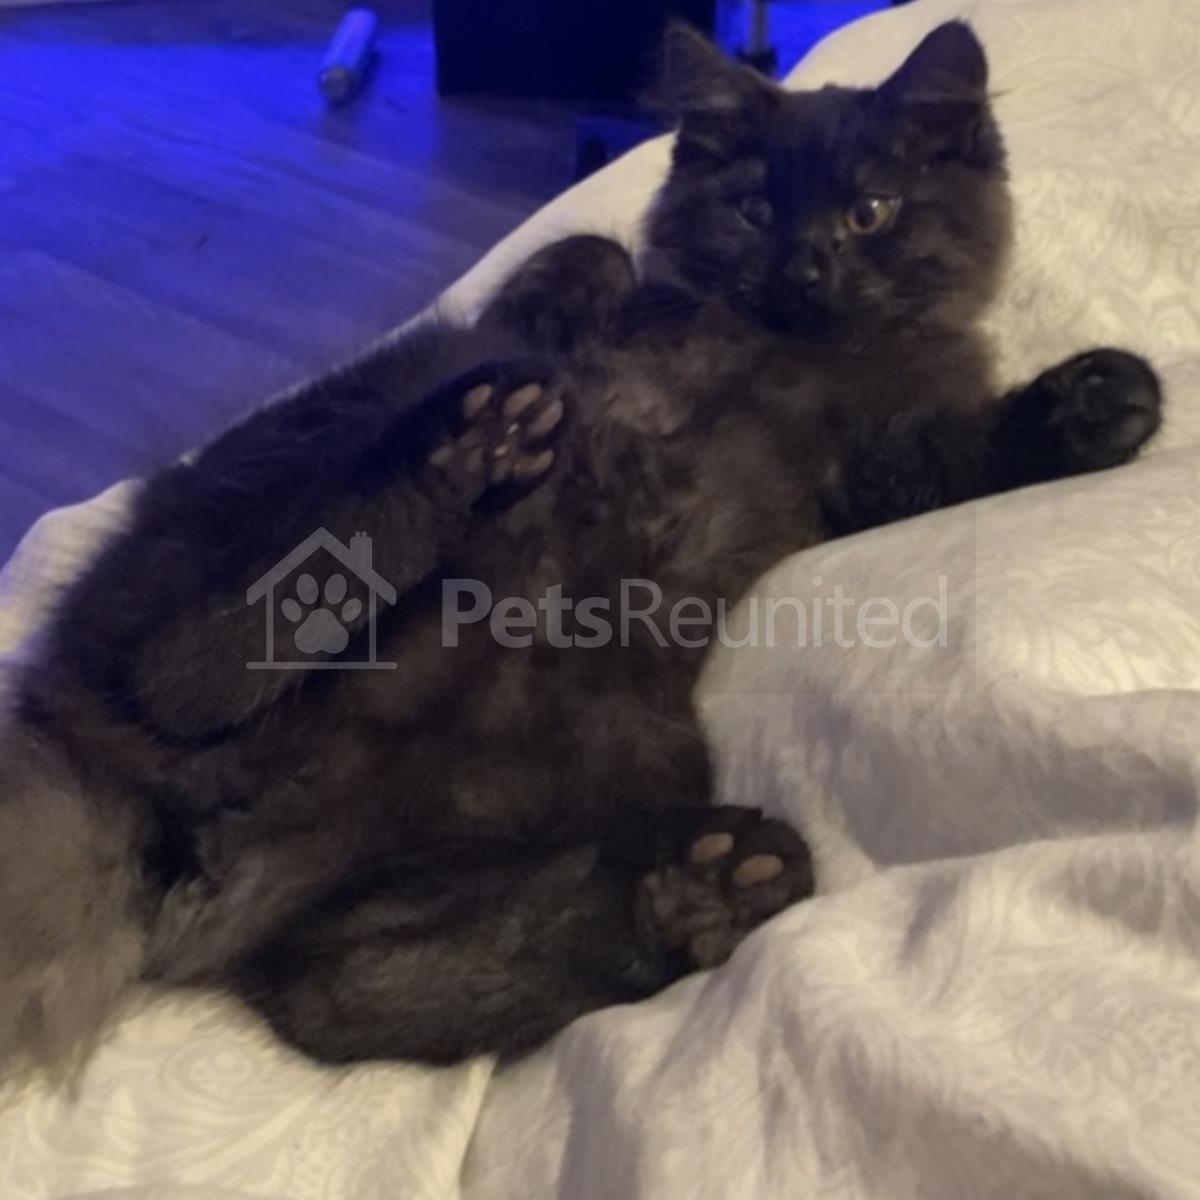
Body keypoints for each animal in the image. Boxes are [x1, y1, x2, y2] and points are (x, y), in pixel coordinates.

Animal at [0, 21, 1162, 1075]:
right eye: (754, 209)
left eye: (868, 211)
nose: (805, 265)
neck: (776, 350)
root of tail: (169, 828)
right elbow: (590, 257)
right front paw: (562, 304)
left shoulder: (883, 459)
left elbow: (968, 455)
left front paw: (1094, 408)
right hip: (300, 451)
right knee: (177, 668)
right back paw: (468, 455)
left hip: (561, 771)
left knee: (345, 989)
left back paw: (699, 893)